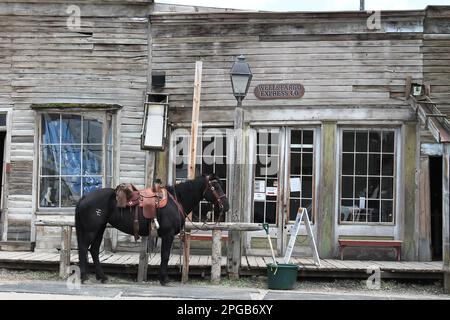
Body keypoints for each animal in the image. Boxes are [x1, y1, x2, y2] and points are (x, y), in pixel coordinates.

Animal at [75, 174, 229, 286]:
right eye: (215, 186)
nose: (226, 205)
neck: (176, 200)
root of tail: (84, 197)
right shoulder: (168, 235)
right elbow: (165, 256)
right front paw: (164, 279)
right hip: (91, 230)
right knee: (83, 248)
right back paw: (84, 276)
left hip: (99, 229)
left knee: (94, 250)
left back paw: (102, 277)